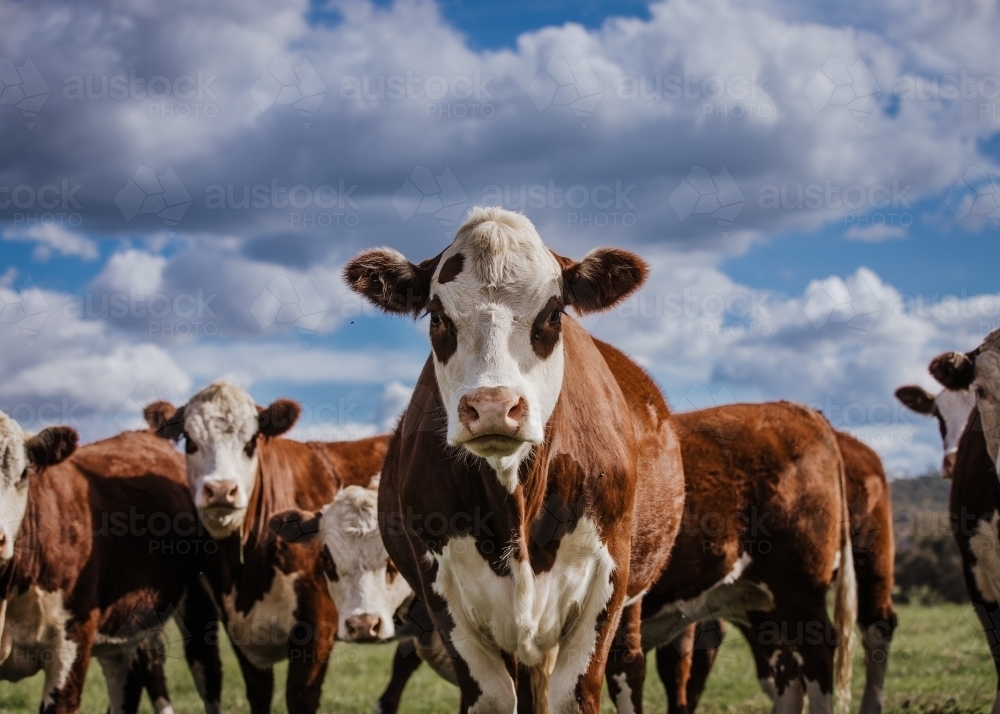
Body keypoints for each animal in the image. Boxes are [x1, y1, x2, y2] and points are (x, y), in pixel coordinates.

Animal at [145, 382, 386, 712]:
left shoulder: (317, 627)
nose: (220, 489)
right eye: (190, 442)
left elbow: (299, 695)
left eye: (250, 442)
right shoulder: (241, 633)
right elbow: (258, 694)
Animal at [344, 203, 688, 708]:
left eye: (553, 312)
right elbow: (493, 696)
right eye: (436, 316)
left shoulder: (607, 579)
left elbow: (574, 693)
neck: (515, 501)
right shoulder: (443, 591)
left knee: (628, 665)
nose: (492, 406)